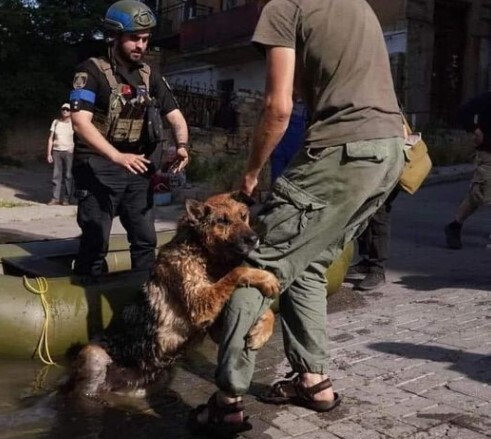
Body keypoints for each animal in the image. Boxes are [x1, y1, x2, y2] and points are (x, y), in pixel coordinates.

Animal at [65, 192, 278, 396]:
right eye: (222, 221)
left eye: (243, 216)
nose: (254, 239)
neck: (202, 251)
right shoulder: (200, 304)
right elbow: (236, 272)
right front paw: (266, 277)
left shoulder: (216, 326)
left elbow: (268, 312)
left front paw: (261, 332)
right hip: (94, 357)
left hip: (153, 382)